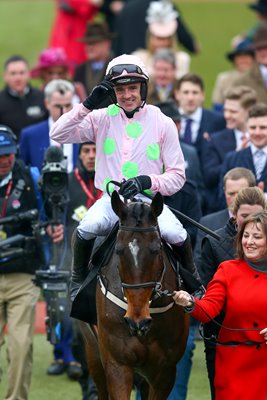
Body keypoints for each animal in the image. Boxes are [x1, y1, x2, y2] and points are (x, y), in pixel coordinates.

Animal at [80, 192, 191, 398]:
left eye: (156, 249)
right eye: (118, 250)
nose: (137, 321)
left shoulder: (165, 370)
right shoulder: (117, 364)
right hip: (93, 352)